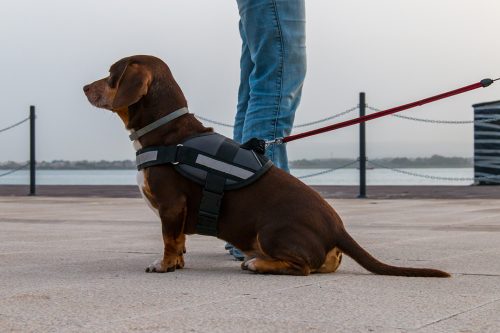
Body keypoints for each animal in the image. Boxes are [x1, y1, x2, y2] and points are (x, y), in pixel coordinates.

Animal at [83, 55, 450, 278]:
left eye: (112, 75)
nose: (85, 86)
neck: (166, 131)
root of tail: (337, 228)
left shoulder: (171, 205)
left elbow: (169, 240)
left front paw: (165, 264)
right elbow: (179, 241)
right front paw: (178, 262)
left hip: (271, 230)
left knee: (302, 268)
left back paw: (258, 262)